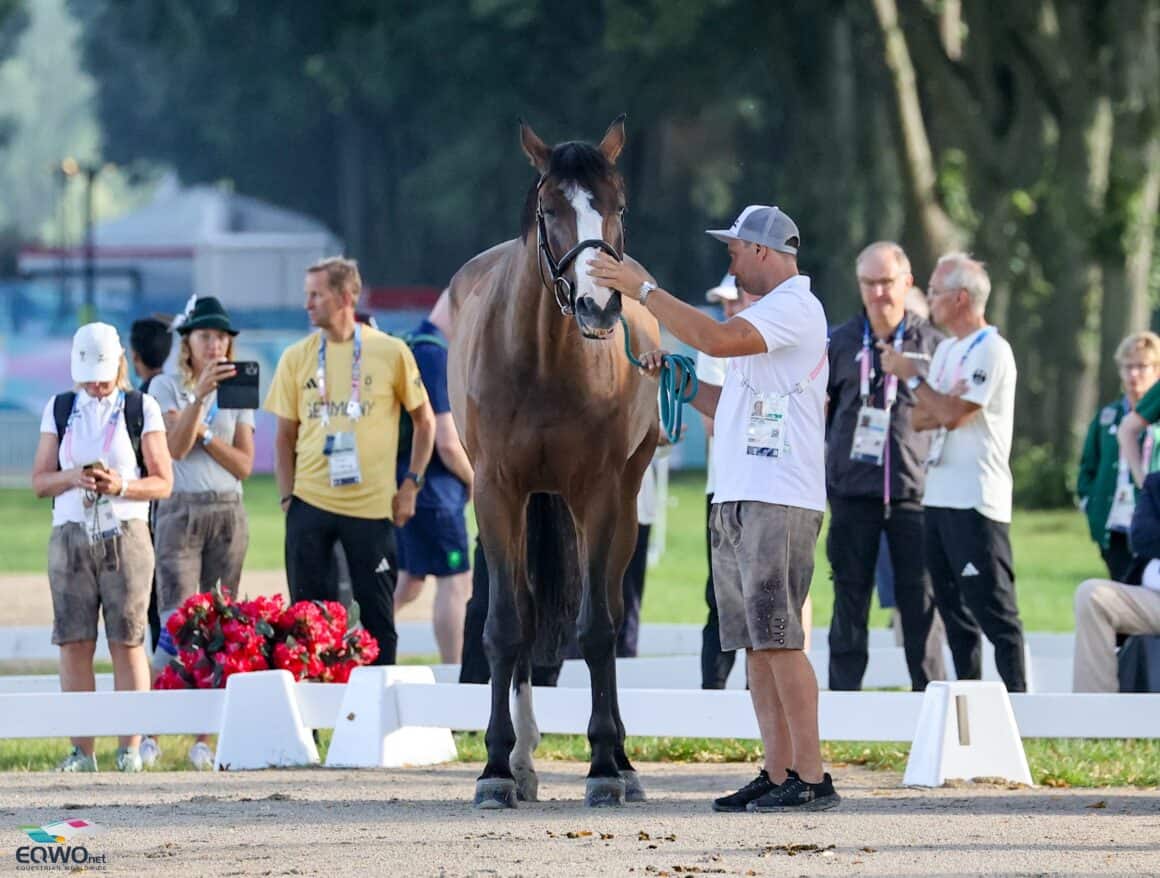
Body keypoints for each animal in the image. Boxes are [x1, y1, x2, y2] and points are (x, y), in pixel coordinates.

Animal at [445, 116, 658, 807]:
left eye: (618, 206)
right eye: (550, 209)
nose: (600, 305)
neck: (540, 359)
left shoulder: (597, 495)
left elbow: (596, 629)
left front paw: (604, 766)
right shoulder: (497, 494)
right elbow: (505, 627)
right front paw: (495, 768)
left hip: (621, 503)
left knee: (608, 610)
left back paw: (622, 762)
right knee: (528, 611)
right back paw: (523, 761)